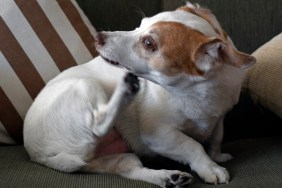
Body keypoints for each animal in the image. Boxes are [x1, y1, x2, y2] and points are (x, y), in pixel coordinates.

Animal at [24, 2, 256, 187]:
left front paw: (218, 156)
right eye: (140, 24)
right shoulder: (159, 135)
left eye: (148, 43)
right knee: (98, 124)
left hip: (118, 158)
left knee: (129, 169)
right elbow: (193, 145)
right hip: (86, 85)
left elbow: (216, 137)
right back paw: (125, 91)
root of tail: (39, 155)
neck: (194, 93)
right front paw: (210, 167)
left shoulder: (219, 118)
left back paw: (168, 178)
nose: (98, 37)